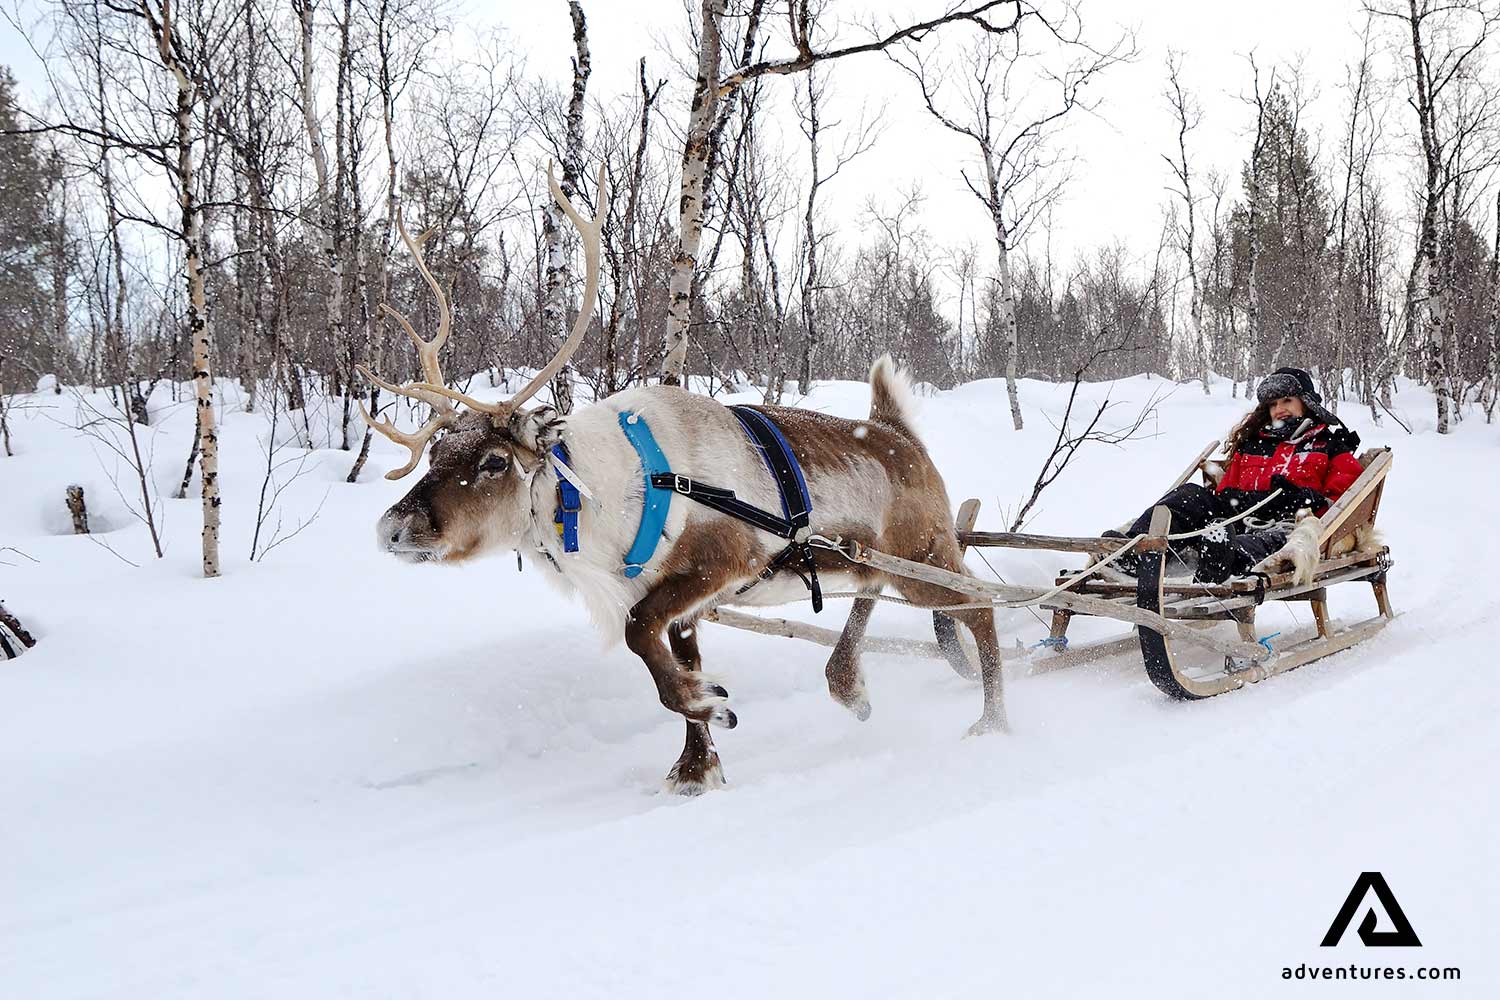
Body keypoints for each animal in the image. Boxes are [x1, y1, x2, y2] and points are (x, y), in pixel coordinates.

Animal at [359, 164, 1006, 794]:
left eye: (493, 461)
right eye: (438, 449)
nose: (390, 529)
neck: (599, 495)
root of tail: (899, 431)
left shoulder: (719, 563)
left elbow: (639, 636)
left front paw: (706, 705)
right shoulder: (683, 603)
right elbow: (674, 658)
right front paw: (698, 762)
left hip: (925, 554)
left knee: (981, 606)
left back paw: (993, 722)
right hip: (870, 558)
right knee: (878, 590)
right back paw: (852, 686)